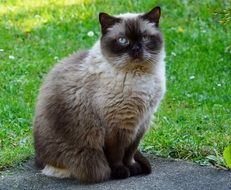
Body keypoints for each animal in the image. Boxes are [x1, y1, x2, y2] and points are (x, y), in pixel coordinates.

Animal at [33, 5, 166, 183]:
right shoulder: (115, 126)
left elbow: (130, 152)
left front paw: (133, 168)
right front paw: (121, 172)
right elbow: (116, 154)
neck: (139, 76)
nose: (136, 49)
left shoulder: (141, 123)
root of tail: (39, 160)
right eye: (123, 40)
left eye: (144, 38)